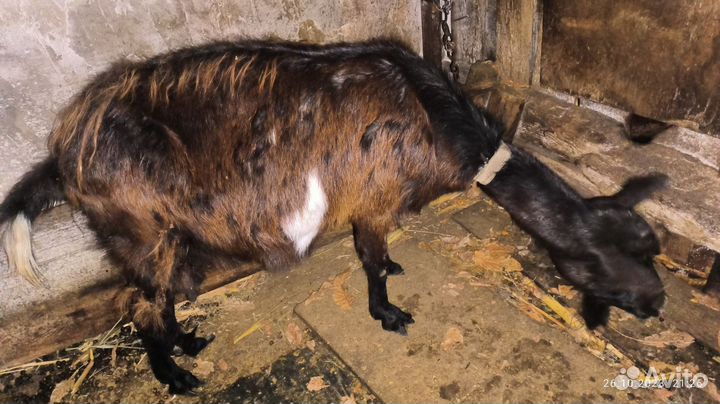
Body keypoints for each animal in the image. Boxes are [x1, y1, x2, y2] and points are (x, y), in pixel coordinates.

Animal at [0, 39, 666, 394]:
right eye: (607, 269)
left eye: (651, 246)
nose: (658, 304)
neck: (435, 118)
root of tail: (63, 155)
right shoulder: (372, 197)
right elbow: (368, 260)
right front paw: (388, 314)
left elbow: (380, 258)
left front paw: (394, 275)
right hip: (141, 226)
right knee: (139, 303)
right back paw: (175, 375)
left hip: (158, 231)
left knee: (155, 298)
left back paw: (187, 342)